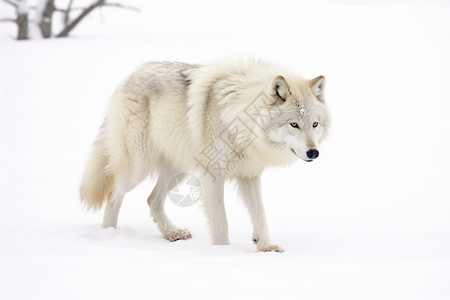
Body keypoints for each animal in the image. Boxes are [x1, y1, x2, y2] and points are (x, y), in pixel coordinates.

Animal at [80, 58, 330, 251]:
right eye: (294, 124)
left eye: (315, 124)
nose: (313, 152)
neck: (239, 122)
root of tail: (130, 76)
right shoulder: (213, 177)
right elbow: (221, 223)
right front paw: (221, 254)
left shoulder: (249, 176)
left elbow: (260, 215)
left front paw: (266, 247)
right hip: (138, 167)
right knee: (113, 195)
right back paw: (109, 234)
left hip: (179, 168)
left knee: (152, 199)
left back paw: (172, 233)